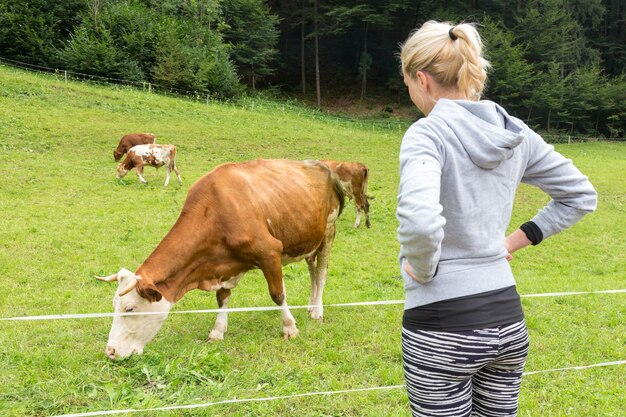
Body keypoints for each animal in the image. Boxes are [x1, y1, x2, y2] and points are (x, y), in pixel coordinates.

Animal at [95, 159, 344, 358]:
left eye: (129, 308)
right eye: (113, 305)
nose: (111, 351)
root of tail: (322, 164)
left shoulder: (270, 252)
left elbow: (277, 294)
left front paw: (289, 327)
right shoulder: (224, 266)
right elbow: (222, 298)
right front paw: (217, 331)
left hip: (328, 231)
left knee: (321, 272)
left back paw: (318, 311)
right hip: (309, 239)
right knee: (313, 271)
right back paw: (310, 307)